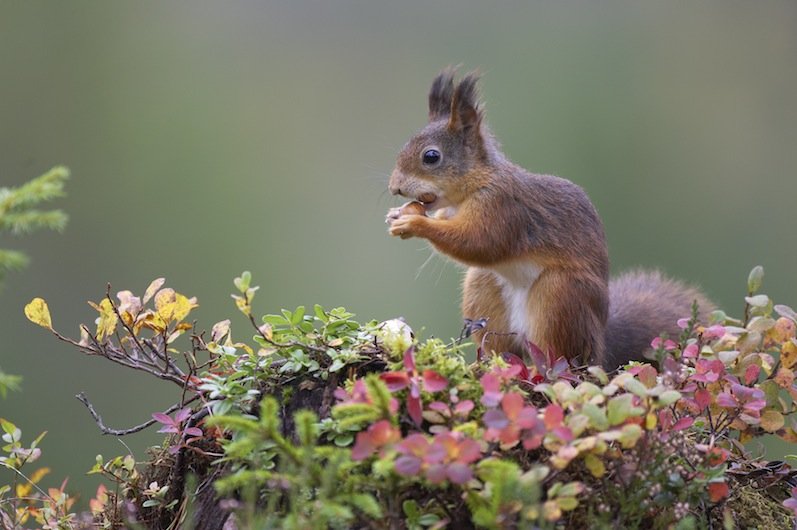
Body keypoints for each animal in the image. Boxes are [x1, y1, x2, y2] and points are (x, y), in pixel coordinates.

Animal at [382, 69, 712, 368]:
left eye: (431, 157)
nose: (394, 187)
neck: (470, 189)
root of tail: (600, 349)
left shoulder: (503, 207)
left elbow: (480, 242)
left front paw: (415, 223)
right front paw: (397, 214)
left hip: (559, 297)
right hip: (484, 289)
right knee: (504, 348)